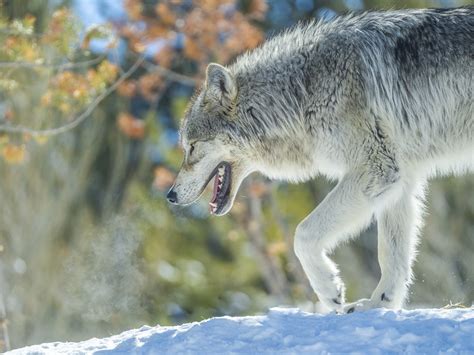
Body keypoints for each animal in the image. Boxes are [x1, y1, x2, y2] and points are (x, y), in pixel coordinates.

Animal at [166, 7, 470, 314]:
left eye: (191, 147)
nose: (170, 195)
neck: (300, 92)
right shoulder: (400, 180)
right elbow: (391, 256)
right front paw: (379, 306)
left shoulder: (375, 168)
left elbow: (303, 234)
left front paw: (330, 291)